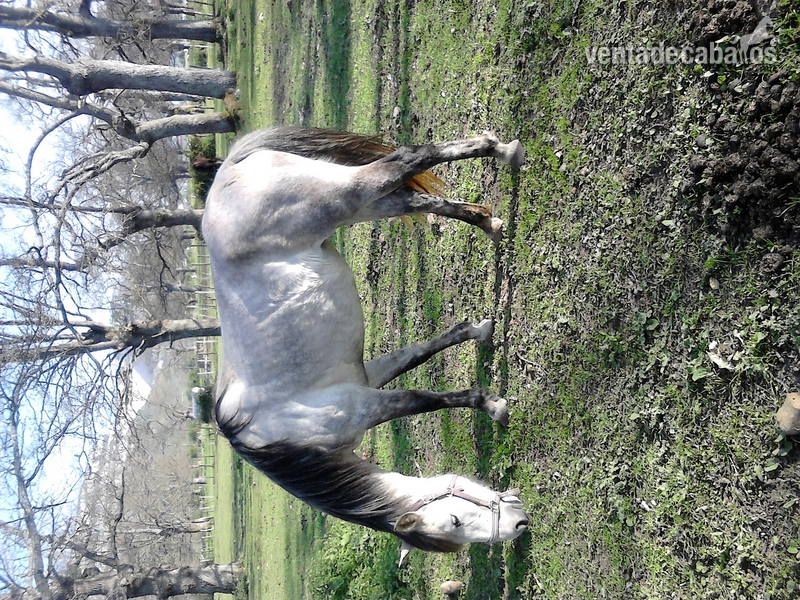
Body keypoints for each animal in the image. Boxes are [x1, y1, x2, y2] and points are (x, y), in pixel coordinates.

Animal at [202, 126, 530, 564]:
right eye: (455, 524)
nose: (518, 524)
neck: (283, 438)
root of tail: (228, 170)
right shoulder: (363, 379)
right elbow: (418, 358)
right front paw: (477, 333)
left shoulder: (361, 405)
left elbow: (424, 400)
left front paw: (493, 405)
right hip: (357, 208)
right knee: (409, 199)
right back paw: (488, 220)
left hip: (343, 197)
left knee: (408, 159)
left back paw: (502, 152)